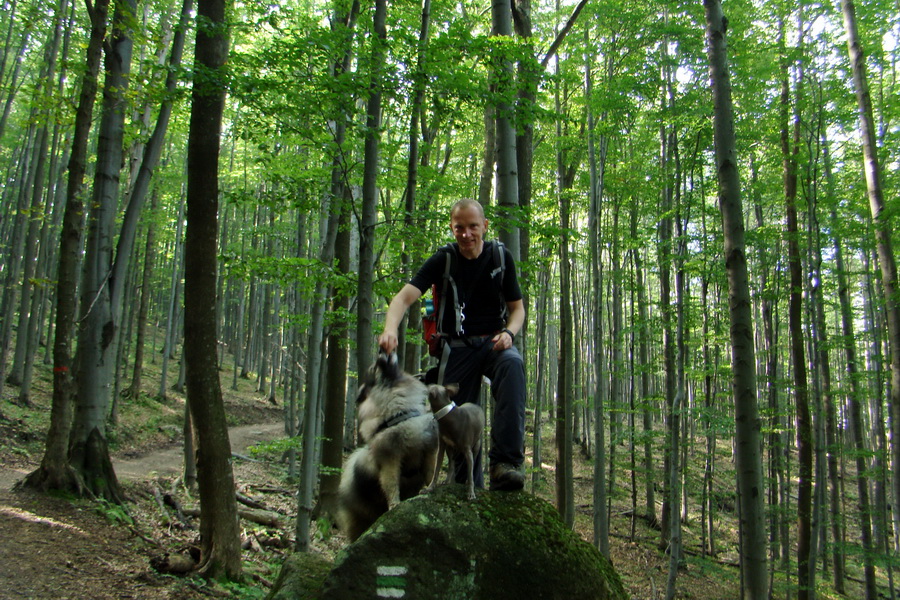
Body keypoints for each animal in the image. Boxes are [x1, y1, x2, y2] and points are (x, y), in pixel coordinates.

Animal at [336, 350, 438, 540]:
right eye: (374, 367)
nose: (382, 350)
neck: (398, 410)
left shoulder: (429, 450)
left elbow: (430, 475)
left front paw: (432, 488)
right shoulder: (390, 459)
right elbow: (391, 485)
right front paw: (395, 505)